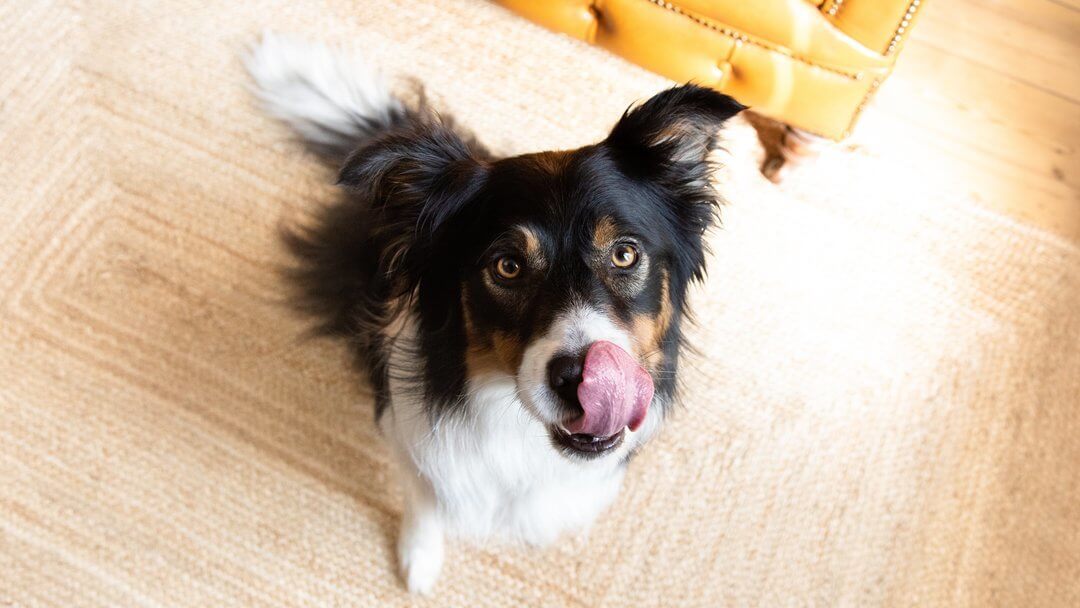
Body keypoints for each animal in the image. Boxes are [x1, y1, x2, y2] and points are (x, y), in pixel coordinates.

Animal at [248, 32, 747, 596]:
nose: (582, 380)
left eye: (624, 254)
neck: (521, 429)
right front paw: (419, 561)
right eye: (507, 266)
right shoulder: (411, 433)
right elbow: (424, 498)